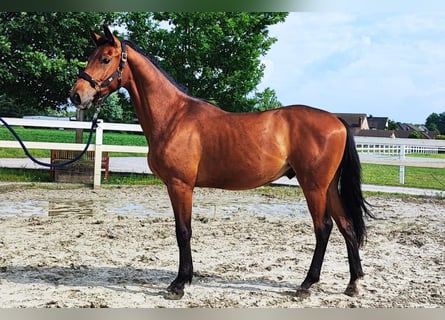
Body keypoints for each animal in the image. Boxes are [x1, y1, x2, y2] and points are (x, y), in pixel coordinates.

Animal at [70, 25, 372, 300]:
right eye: (89, 57)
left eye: (105, 59)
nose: (76, 95)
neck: (173, 116)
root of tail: (337, 121)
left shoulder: (180, 186)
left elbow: (183, 231)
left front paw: (179, 284)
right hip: (328, 187)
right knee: (346, 225)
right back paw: (353, 283)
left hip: (314, 187)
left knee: (324, 228)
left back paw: (306, 285)